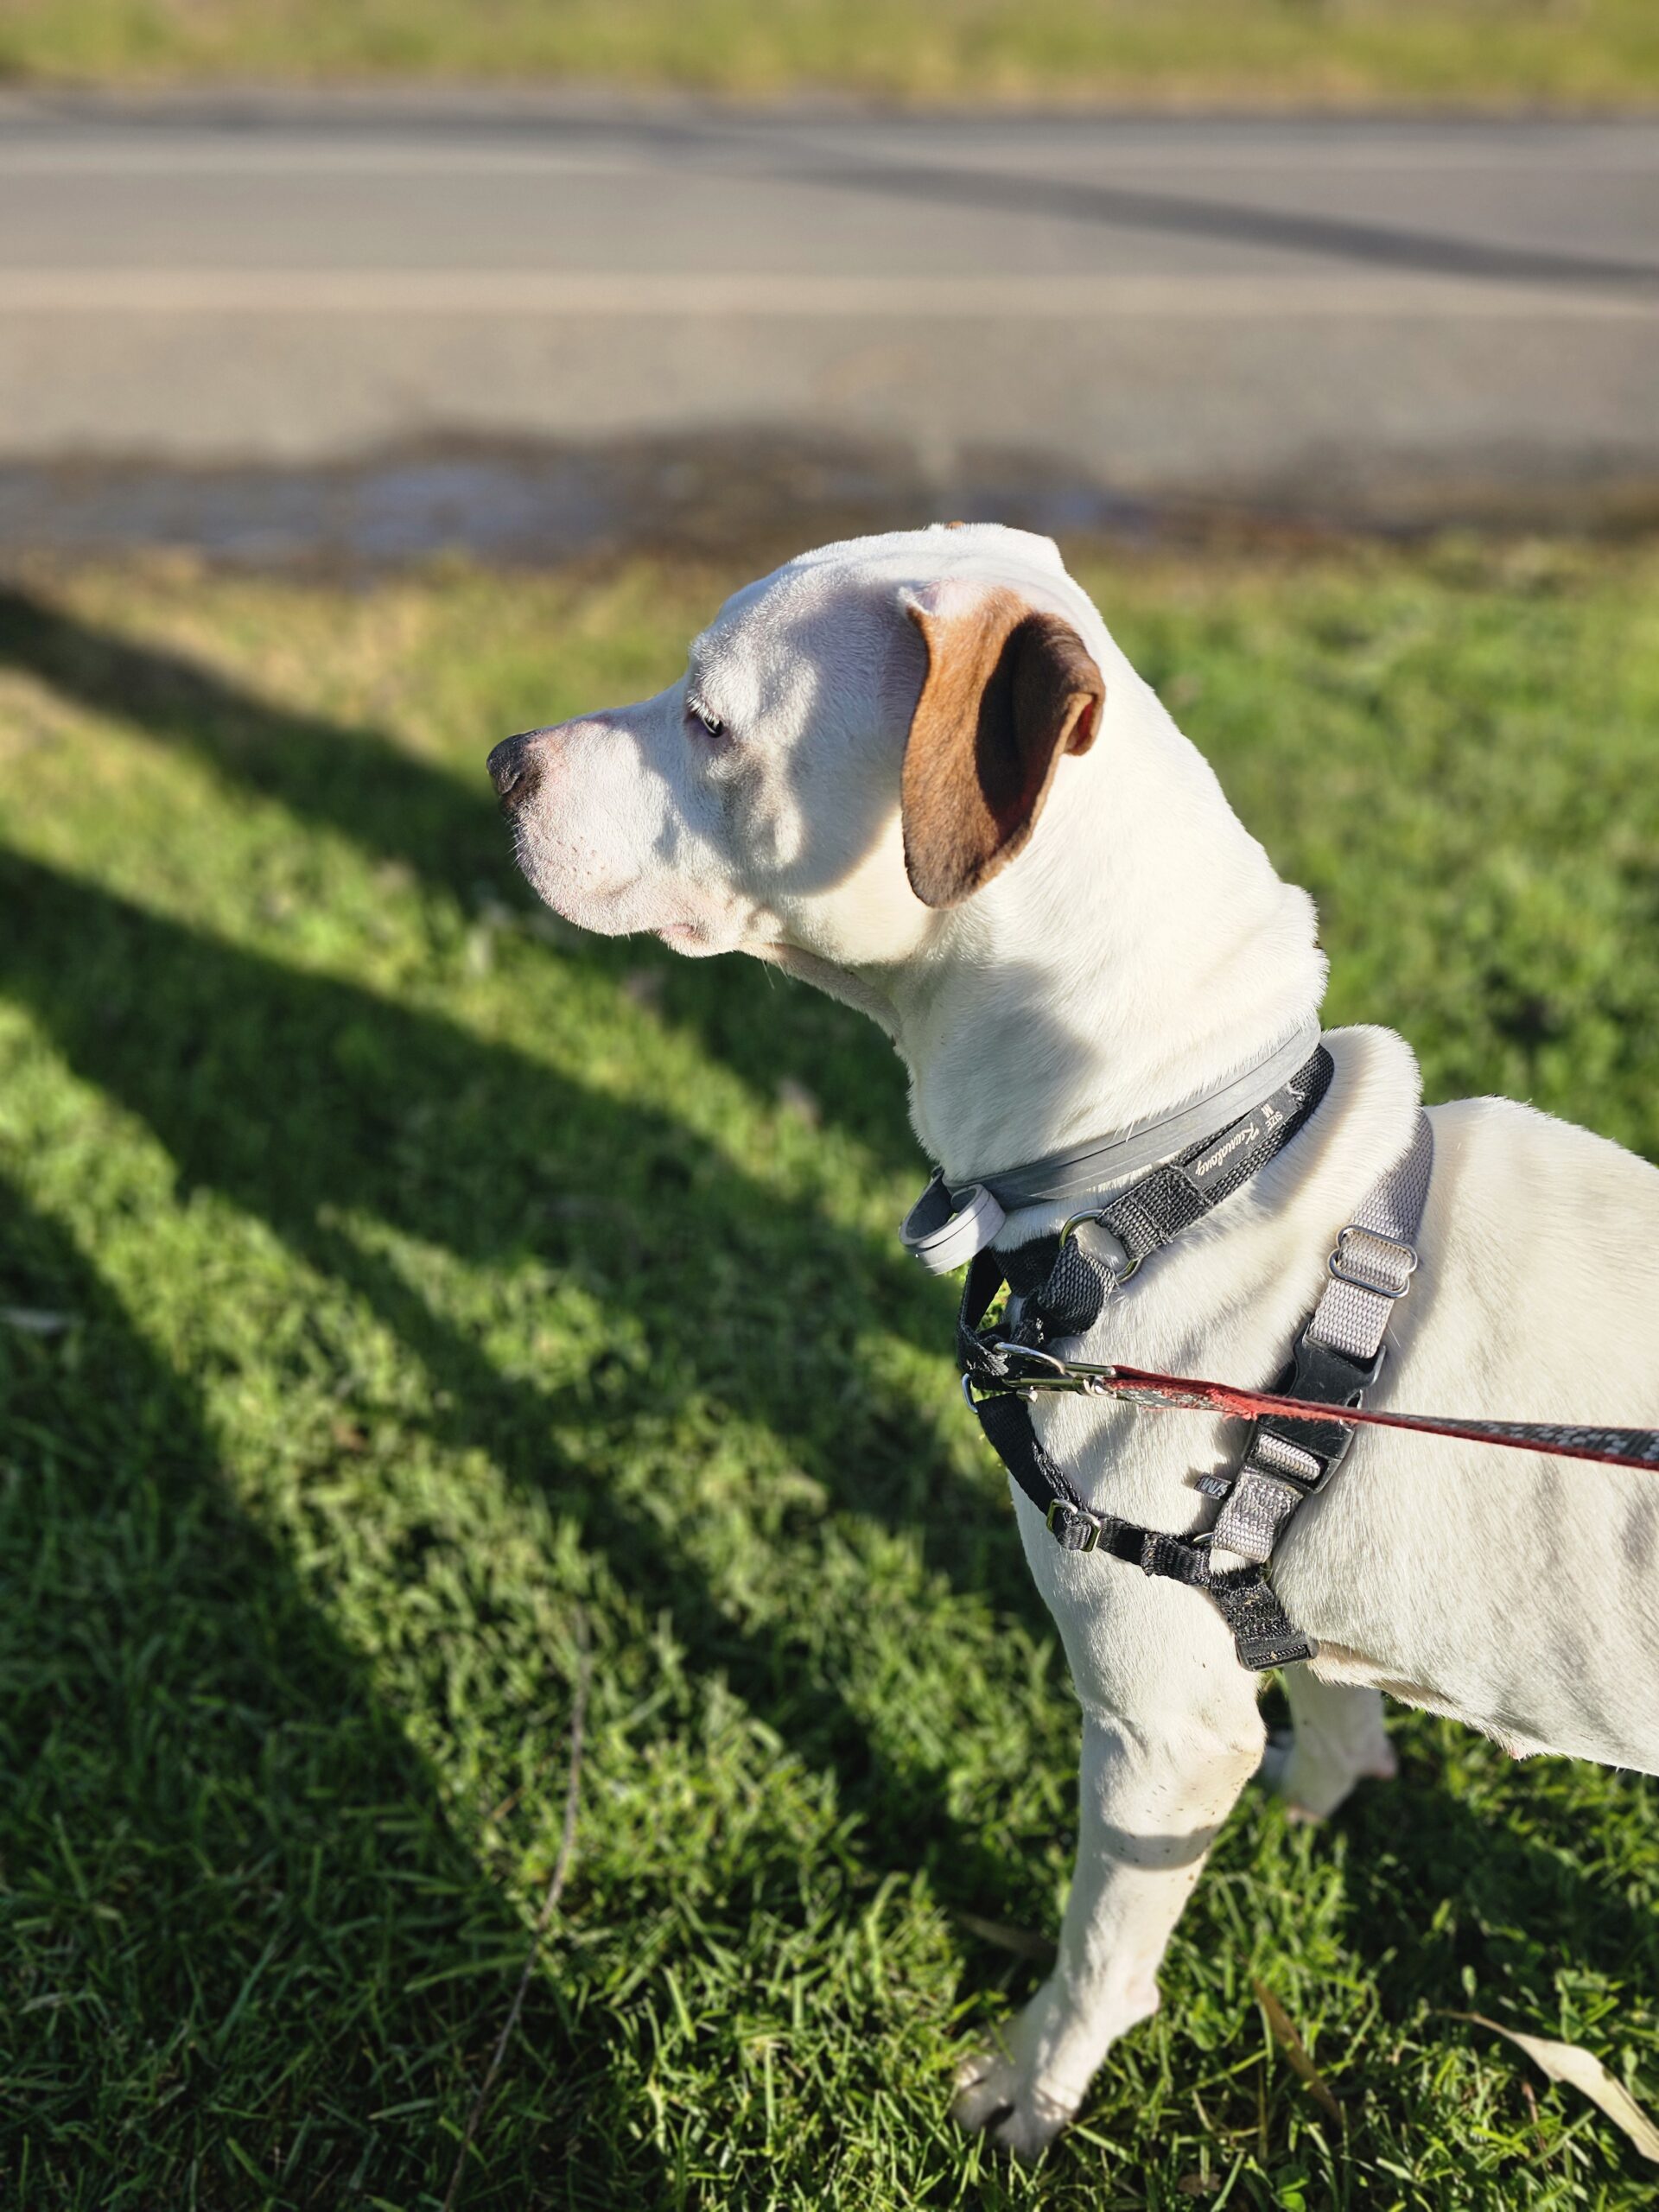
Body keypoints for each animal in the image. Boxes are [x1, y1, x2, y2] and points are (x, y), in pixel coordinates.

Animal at [487, 525, 1659, 2157]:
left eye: (709, 719)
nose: (500, 764)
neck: (1175, 1160)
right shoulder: (1261, 1629)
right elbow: (1331, 1712)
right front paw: (1320, 1792)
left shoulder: (1157, 1726)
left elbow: (1104, 1940)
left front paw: (1031, 2089)